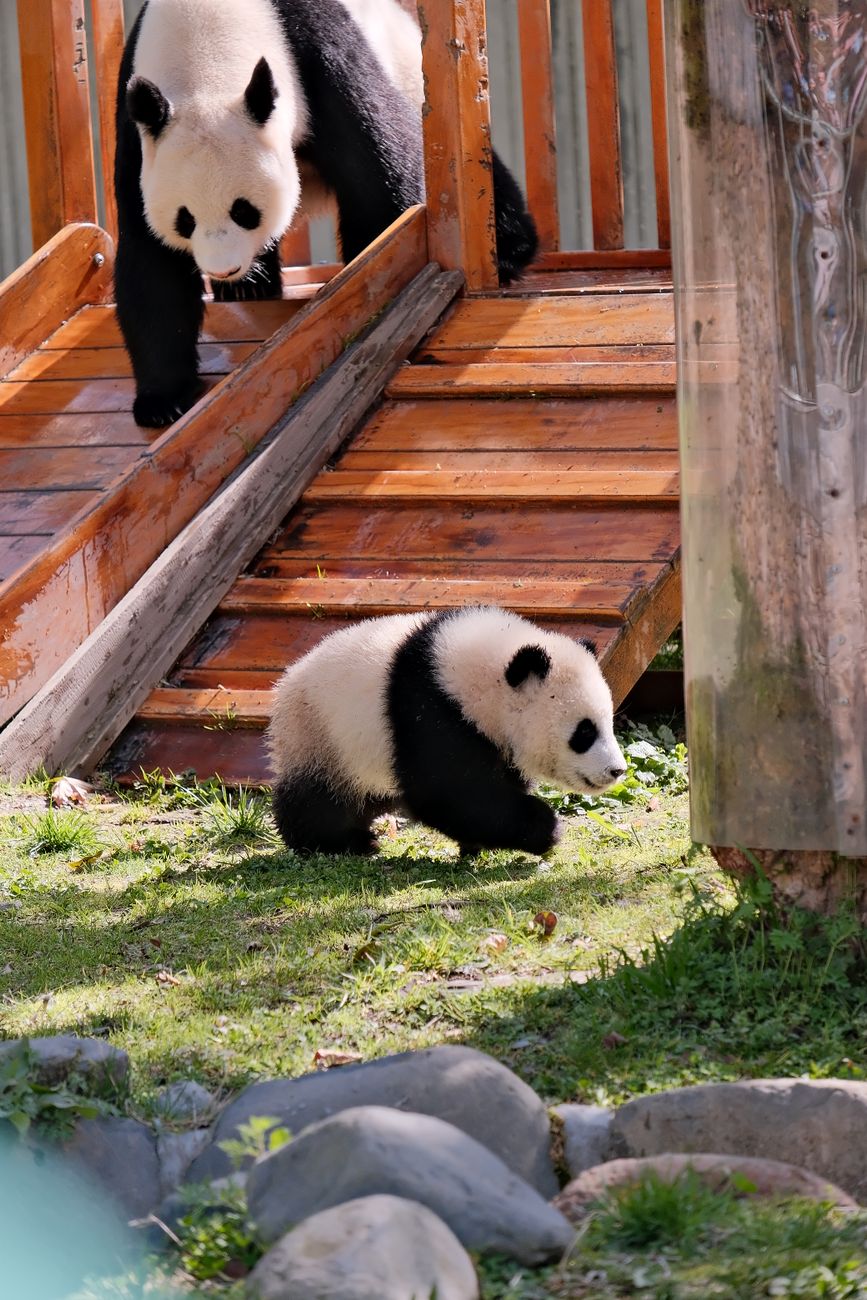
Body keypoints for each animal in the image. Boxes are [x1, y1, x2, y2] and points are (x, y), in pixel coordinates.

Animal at [115, 0, 539, 428]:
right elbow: (148, 257)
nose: (224, 269)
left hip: (408, 69)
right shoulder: (138, 129)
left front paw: (369, 291)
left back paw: (510, 251)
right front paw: (164, 401)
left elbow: (379, 176)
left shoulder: (314, 56)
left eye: (244, 211)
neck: (204, 57)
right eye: (185, 220)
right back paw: (248, 289)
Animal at [267, 606, 627, 856]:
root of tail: (285, 684)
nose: (617, 770)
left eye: (608, 724)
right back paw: (340, 841)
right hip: (320, 735)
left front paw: (478, 842)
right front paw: (543, 827)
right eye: (584, 733)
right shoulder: (429, 709)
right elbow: (446, 792)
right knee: (318, 800)